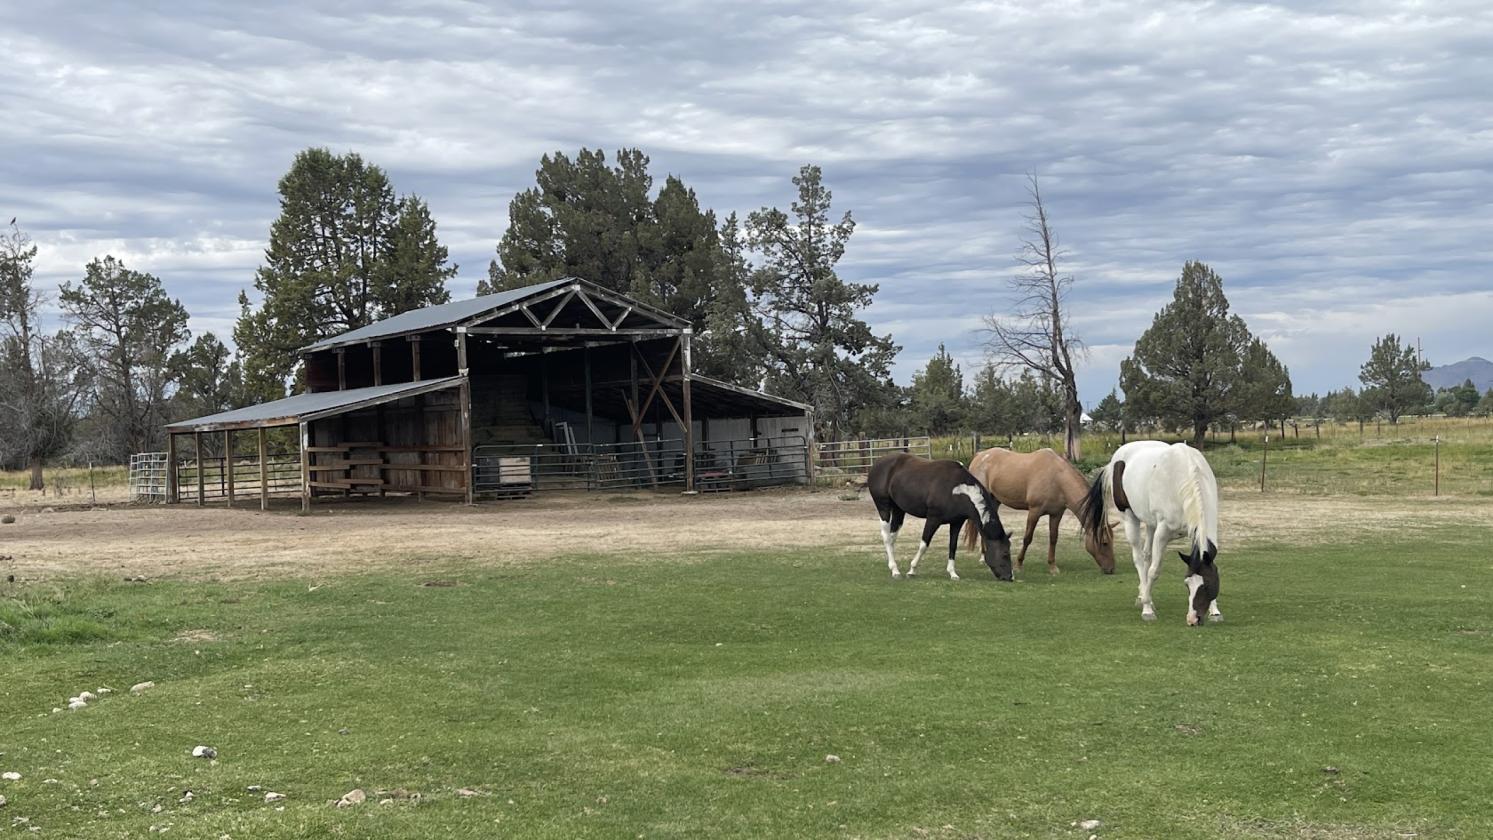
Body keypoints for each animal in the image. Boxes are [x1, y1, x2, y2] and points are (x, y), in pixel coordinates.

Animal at [868, 453, 1014, 581]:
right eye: (1005, 553)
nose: (1010, 577)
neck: (956, 490)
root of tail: (878, 463)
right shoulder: (933, 519)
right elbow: (924, 544)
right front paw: (912, 570)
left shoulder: (956, 523)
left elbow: (953, 546)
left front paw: (953, 573)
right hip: (883, 507)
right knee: (886, 537)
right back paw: (895, 571)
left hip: (899, 510)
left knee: (892, 537)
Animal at [960, 447, 1117, 575]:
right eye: (1104, 543)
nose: (1111, 569)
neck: (1056, 478)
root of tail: (980, 456)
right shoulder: (1034, 512)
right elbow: (1027, 538)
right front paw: (1018, 565)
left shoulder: (1056, 514)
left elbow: (1053, 538)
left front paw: (1053, 567)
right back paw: (983, 557)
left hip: (994, 501)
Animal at [1081, 441, 1222, 625]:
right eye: (1186, 584)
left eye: (1206, 585)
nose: (1193, 619)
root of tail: (1115, 460)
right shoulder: (1162, 532)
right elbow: (1154, 571)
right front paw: (1147, 609)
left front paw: (1215, 611)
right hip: (1130, 518)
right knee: (1139, 559)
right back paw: (1145, 599)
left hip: (1150, 524)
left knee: (1146, 555)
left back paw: (1143, 594)